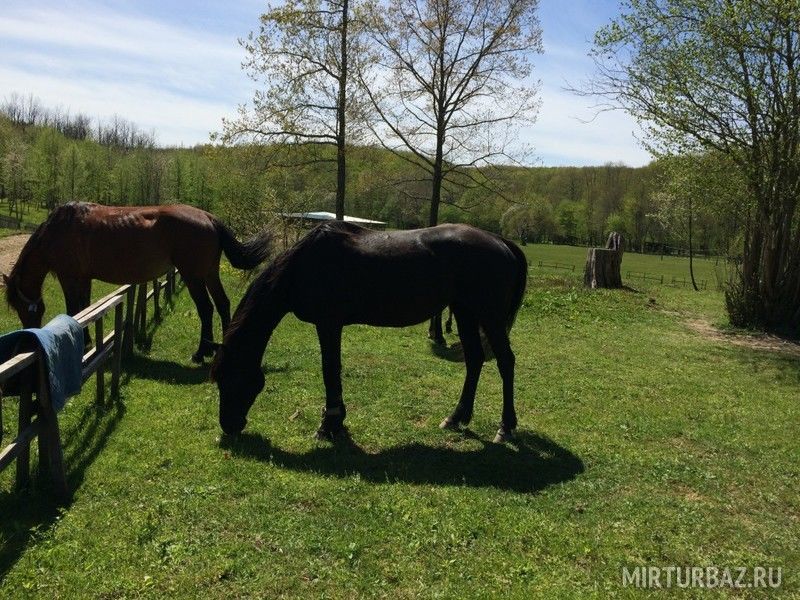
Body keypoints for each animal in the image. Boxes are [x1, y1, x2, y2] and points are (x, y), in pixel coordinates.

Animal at [3, 202, 272, 363]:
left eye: (17, 306)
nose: (28, 334)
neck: (59, 230)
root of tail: (207, 217)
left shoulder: (68, 277)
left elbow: (74, 310)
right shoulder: (83, 278)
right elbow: (86, 309)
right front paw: (87, 340)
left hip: (193, 276)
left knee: (206, 309)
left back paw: (201, 352)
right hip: (209, 274)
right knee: (223, 303)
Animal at [211, 220, 528, 443]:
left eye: (229, 378)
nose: (229, 425)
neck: (304, 265)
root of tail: (502, 242)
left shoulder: (328, 323)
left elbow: (330, 368)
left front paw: (329, 424)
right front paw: (335, 421)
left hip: (489, 316)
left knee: (506, 362)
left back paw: (506, 427)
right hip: (465, 312)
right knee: (474, 360)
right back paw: (456, 417)